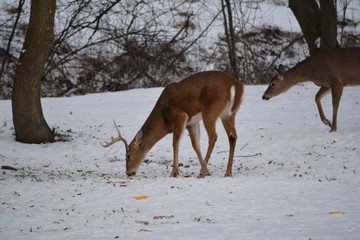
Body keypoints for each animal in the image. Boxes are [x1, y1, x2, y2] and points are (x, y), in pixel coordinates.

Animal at [101, 70, 245, 177]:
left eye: (128, 155)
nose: (128, 172)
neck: (163, 117)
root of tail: (237, 85)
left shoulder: (180, 116)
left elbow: (175, 143)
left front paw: (174, 172)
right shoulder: (191, 123)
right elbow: (195, 145)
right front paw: (207, 170)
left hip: (210, 110)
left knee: (213, 136)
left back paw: (202, 173)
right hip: (228, 113)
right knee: (232, 136)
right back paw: (227, 172)